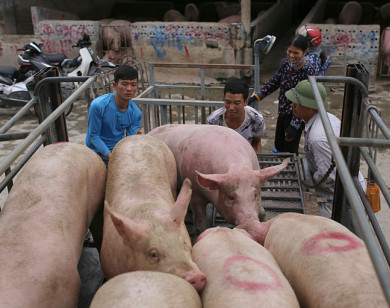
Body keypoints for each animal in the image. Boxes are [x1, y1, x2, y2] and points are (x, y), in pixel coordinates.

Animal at [148, 124, 288, 232]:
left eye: (255, 195)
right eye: (231, 197)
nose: (250, 222)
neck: (236, 165)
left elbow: (262, 210)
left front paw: (266, 219)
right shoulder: (196, 194)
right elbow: (200, 222)